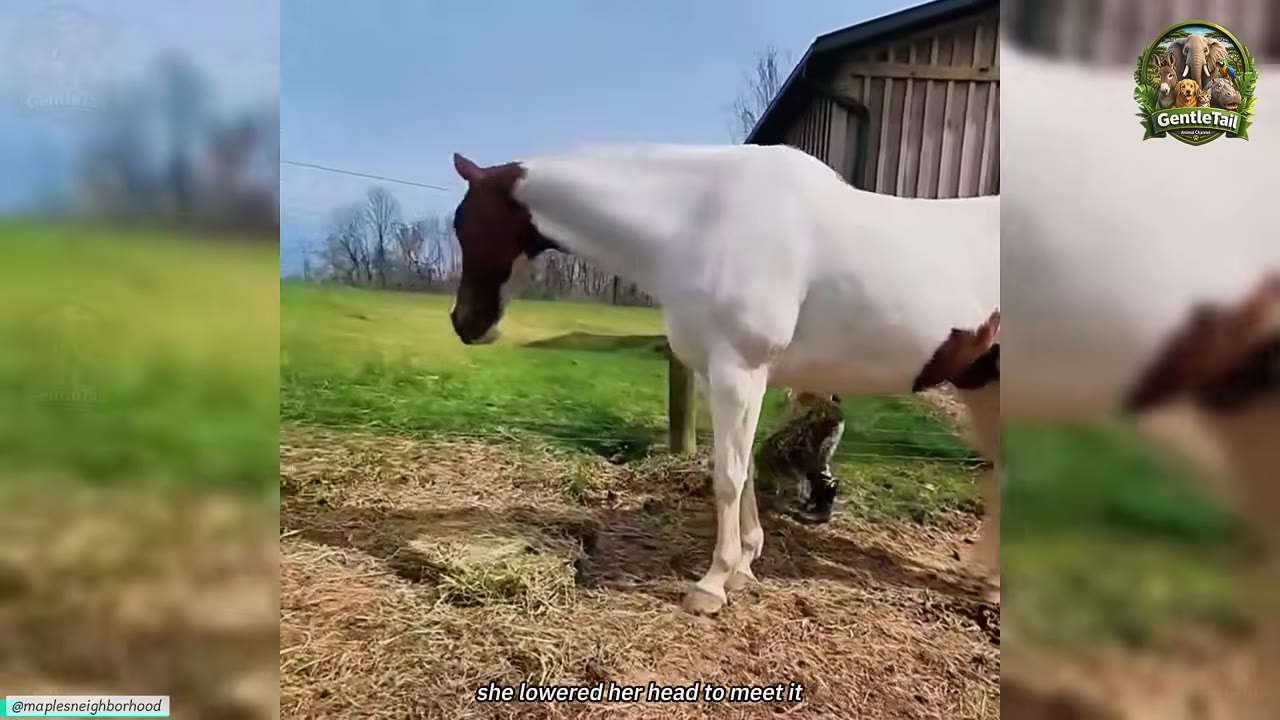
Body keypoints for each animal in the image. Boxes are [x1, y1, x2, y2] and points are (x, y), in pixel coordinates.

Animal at [446, 142, 1000, 615]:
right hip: (982, 383)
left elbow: (728, 478)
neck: (699, 220)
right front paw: (745, 565)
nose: (465, 324)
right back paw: (986, 583)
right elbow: (744, 468)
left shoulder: (739, 372)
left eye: (466, 222)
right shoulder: (720, 376)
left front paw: (712, 584)